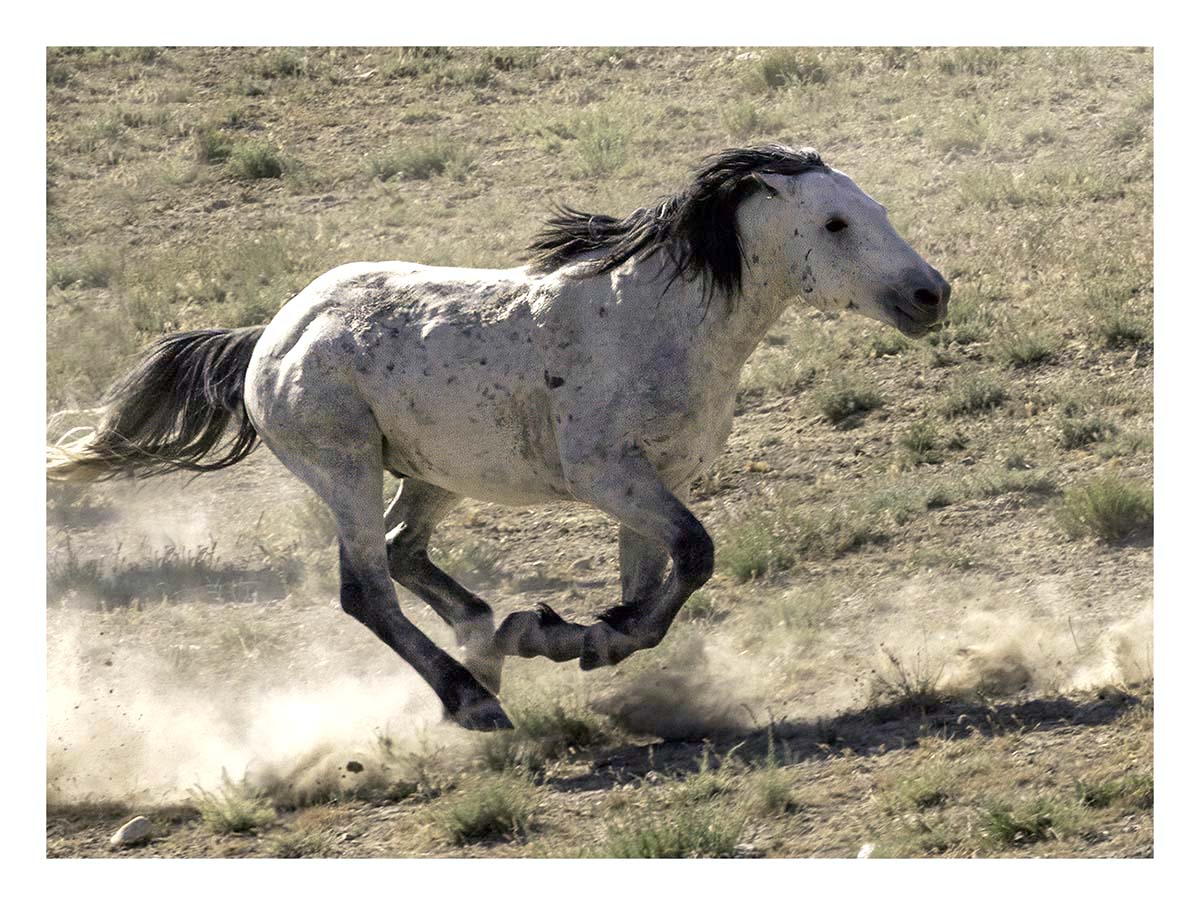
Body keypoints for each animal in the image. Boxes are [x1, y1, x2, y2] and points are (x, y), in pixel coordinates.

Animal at [47, 144, 950, 732]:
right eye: (835, 224)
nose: (930, 293)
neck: (657, 322)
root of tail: (271, 334)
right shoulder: (610, 478)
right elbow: (695, 556)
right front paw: (574, 636)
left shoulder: (651, 485)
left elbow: (655, 586)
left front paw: (569, 635)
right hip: (344, 469)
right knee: (367, 589)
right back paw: (472, 698)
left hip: (431, 472)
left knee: (406, 551)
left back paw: (488, 641)